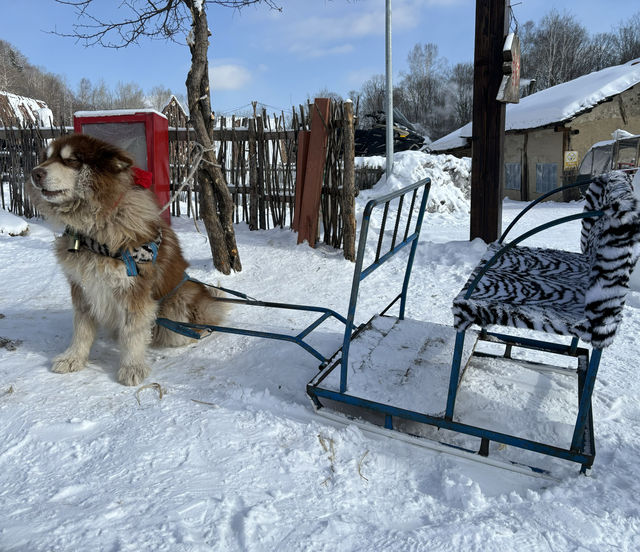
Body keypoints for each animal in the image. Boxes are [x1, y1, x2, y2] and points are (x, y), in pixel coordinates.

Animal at [28, 133, 228, 384]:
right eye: (46, 158)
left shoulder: (134, 290)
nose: (35, 172)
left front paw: (132, 367)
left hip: (177, 305)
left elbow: (133, 333)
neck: (95, 229)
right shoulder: (82, 288)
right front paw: (73, 357)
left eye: (72, 160)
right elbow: (81, 329)